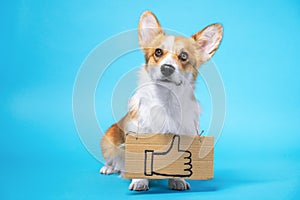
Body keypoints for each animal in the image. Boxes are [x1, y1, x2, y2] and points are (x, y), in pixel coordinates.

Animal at [99, 10, 221, 191]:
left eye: (183, 56)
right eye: (158, 52)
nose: (167, 68)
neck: (166, 100)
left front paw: (177, 179)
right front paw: (140, 181)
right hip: (109, 139)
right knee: (113, 159)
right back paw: (109, 168)